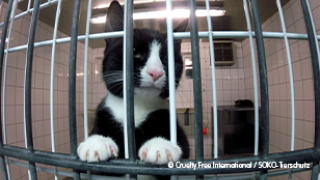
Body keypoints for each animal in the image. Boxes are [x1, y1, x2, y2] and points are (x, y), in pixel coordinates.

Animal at [77, 1, 190, 179]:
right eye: (135, 54)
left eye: (166, 59)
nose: (156, 72)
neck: (136, 106)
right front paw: (97, 142)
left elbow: (184, 149)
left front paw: (160, 145)